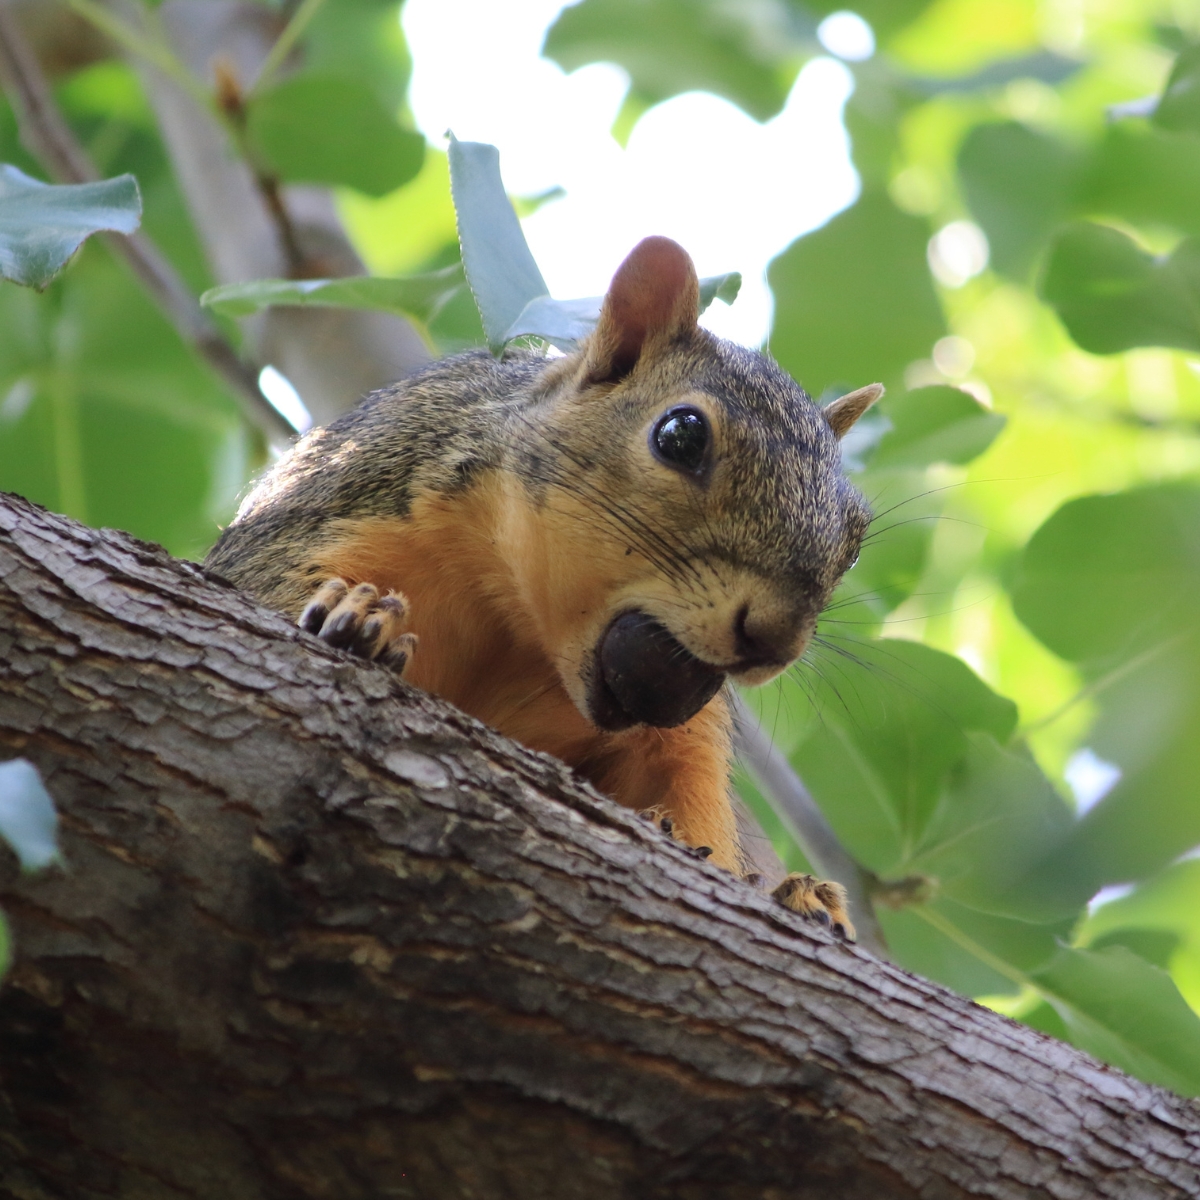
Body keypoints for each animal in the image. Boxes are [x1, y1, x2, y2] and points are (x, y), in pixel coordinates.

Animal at [206, 236, 881, 939]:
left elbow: (696, 813)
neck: (519, 623)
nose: (775, 641)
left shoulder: (683, 738)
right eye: (680, 434)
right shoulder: (337, 511)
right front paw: (355, 617)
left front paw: (777, 885)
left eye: (856, 538)